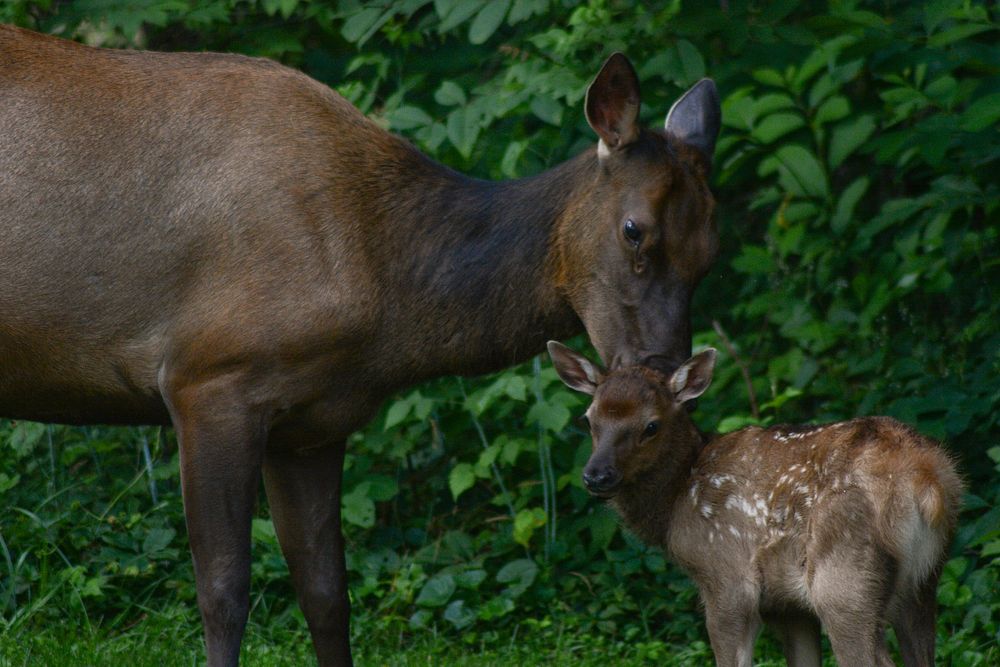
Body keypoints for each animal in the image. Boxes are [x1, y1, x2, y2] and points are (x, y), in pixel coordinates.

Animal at [0, 23, 720, 664]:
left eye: (710, 246)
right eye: (634, 230)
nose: (662, 376)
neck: (385, 299)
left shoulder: (312, 424)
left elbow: (326, 594)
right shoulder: (206, 379)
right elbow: (223, 591)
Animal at [548, 344, 960, 667]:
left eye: (651, 426)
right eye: (588, 419)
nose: (597, 476)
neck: (676, 500)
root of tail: (927, 480)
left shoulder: (725, 577)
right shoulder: (789, 606)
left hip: (843, 576)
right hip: (923, 580)